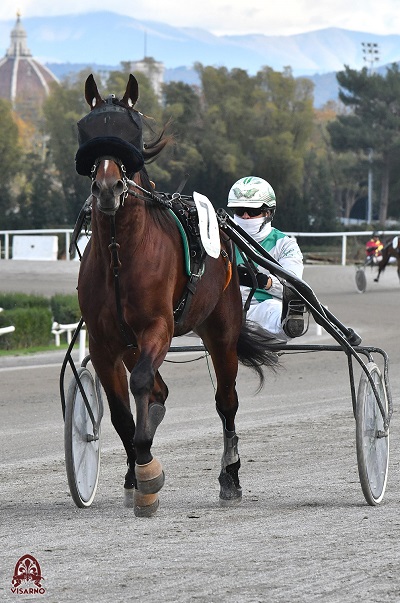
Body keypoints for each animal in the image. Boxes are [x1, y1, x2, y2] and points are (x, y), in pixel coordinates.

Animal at [74, 74, 278, 520]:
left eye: (130, 130)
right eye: (89, 130)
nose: (107, 187)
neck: (120, 254)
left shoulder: (158, 327)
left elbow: (142, 384)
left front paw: (148, 473)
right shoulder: (104, 342)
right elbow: (121, 412)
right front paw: (135, 476)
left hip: (221, 328)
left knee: (226, 402)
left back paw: (230, 477)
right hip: (133, 345)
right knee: (157, 392)